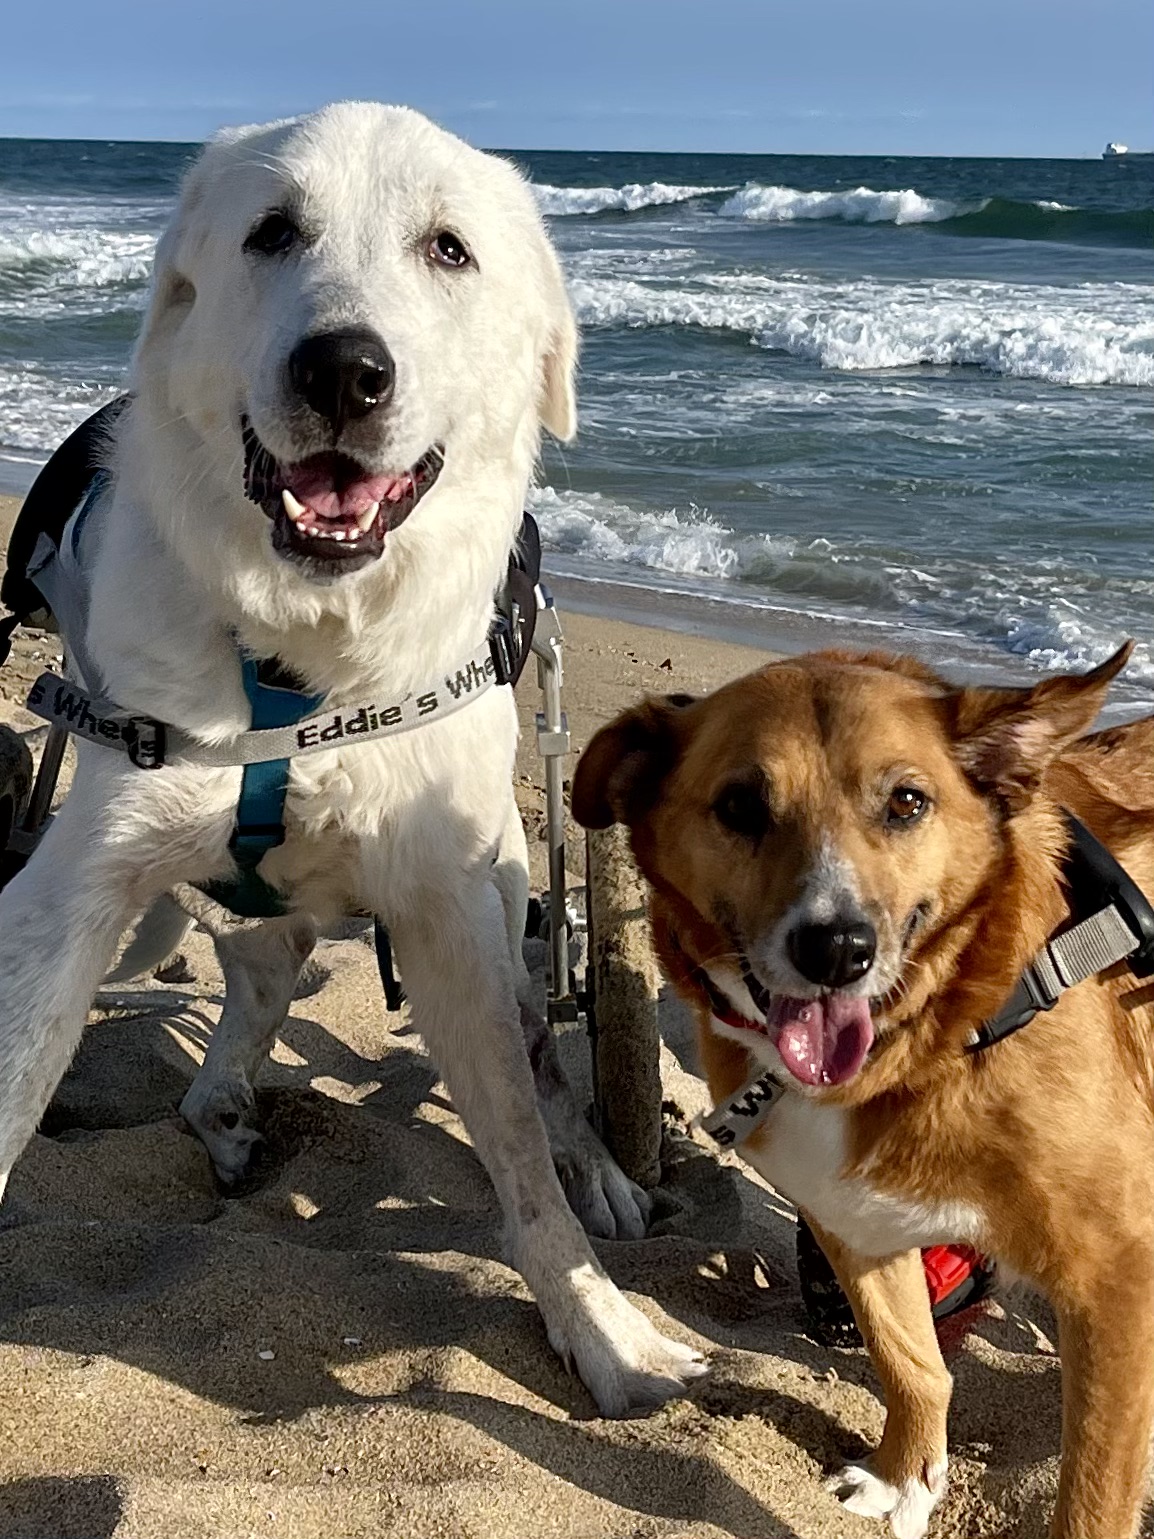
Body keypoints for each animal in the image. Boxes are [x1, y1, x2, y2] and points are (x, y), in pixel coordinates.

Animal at [0, 102, 704, 1409]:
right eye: (272, 232)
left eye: (449, 249)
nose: (342, 371)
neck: (304, 664)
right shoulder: (76, 882)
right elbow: (15, 1081)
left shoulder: (449, 914)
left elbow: (520, 1153)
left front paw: (602, 1328)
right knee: (248, 1003)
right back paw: (226, 1108)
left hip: (513, 889)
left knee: (540, 1053)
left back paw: (601, 1166)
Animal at [575, 643, 1154, 1532]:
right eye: (741, 805)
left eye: (907, 801)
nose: (837, 948)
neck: (935, 1033)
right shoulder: (853, 1217)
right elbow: (911, 1361)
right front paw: (904, 1481)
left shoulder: (1118, 1275)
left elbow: (1090, 1496)